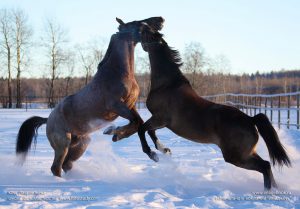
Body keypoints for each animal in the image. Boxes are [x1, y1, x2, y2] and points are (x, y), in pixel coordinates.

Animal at [15, 16, 164, 176]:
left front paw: (154, 152)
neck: (118, 73)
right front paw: (114, 133)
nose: (161, 20)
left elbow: (140, 123)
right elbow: (136, 123)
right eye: (138, 23)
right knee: (56, 167)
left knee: (66, 165)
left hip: (80, 144)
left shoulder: (131, 105)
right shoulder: (117, 106)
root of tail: (48, 119)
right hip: (63, 144)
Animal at [138, 24, 290, 189]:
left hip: (236, 157)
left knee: (265, 166)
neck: (167, 85)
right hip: (246, 153)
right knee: (266, 166)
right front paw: (164, 150)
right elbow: (150, 131)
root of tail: (250, 119)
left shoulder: (160, 119)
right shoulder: (159, 121)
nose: (142, 25)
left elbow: (142, 129)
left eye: (150, 32)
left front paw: (152, 154)